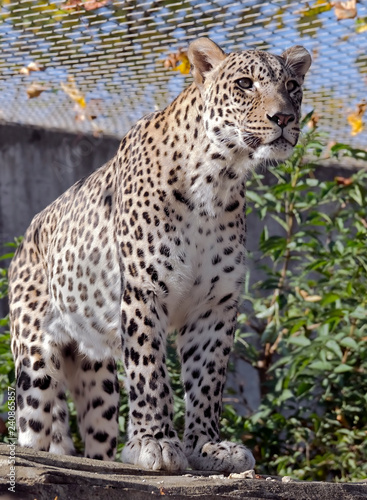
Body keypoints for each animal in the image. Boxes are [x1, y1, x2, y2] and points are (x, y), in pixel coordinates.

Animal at [7, 36, 310, 472]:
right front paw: (156, 442)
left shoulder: (215, 304)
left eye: (292, 87)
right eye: (244, 84)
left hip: (98, 376)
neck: (216, 180)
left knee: (97, 433)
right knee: (36, 424)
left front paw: (207, 446)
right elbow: (150, 370)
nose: (283, 117)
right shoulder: (143, 292)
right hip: (35, 360)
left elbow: (207, 381)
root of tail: (27, 236)